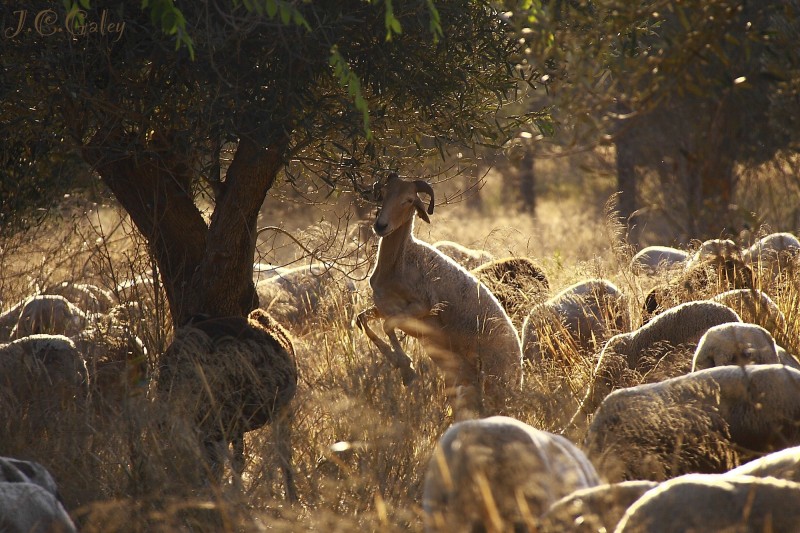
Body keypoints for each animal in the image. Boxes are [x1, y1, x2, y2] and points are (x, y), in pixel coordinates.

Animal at [358, 172, 524, 418]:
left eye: (409, 200)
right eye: (384, 193)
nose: (380, 226)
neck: (399, 261)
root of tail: (519, 359)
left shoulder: (423, 306)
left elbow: (388, 325)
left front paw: (406, 369)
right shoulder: (383, 306)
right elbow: (361, 320)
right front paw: (401, 365)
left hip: (497, 382)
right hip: (466, 378)